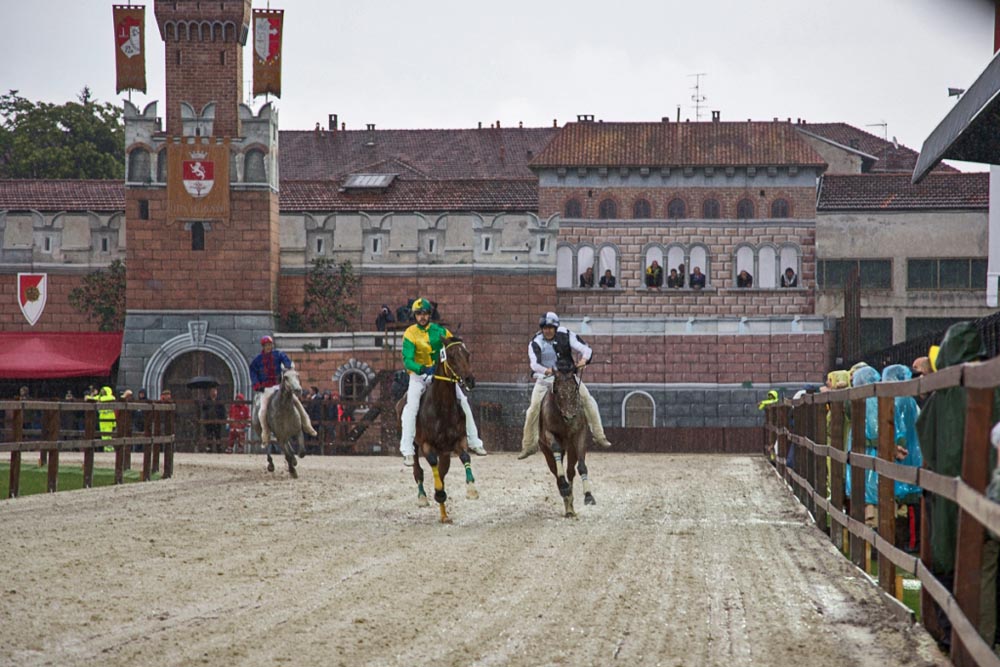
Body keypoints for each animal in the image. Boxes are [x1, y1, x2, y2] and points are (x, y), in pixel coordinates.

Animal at [394, 340, 480, 520]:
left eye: (467, 354)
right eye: (452, 356)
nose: (469, 380)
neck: (443, 409)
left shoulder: (458, 439)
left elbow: (464, 456)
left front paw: (471, 490)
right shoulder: (427, 444)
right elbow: (432, 463)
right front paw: (438, 493)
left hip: (445, 451)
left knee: (442, 470)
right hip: (414, 442)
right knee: (417, 470)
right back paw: (422, 496)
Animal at [540, 362, 592, 520]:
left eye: (574, 388)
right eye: (556, 390)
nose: (569, 416)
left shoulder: (580, 434)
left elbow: (581, 466)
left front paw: (589, 496)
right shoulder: (548, 434)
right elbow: (556, 448)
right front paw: (564, 487)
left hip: (571, 450)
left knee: (570, 471)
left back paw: (571, 506)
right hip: (546, 452)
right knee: (556, 472)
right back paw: (566, 496)